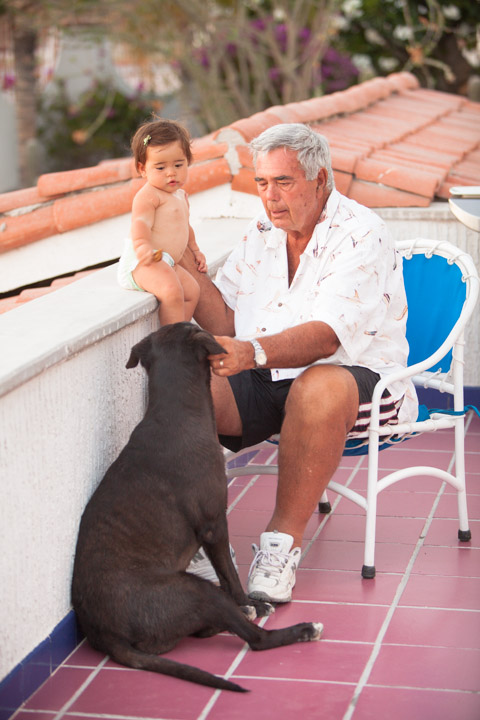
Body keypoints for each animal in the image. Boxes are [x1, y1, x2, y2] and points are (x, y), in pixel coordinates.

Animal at [72, 322, 322, 693]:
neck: (175, 413)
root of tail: (106, 635)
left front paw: (251, 605)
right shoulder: (214, 524)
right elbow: (230, 575)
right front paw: (250, 602)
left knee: (208, 630)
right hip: (196, 591)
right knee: (255, 639)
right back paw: (300, 628)